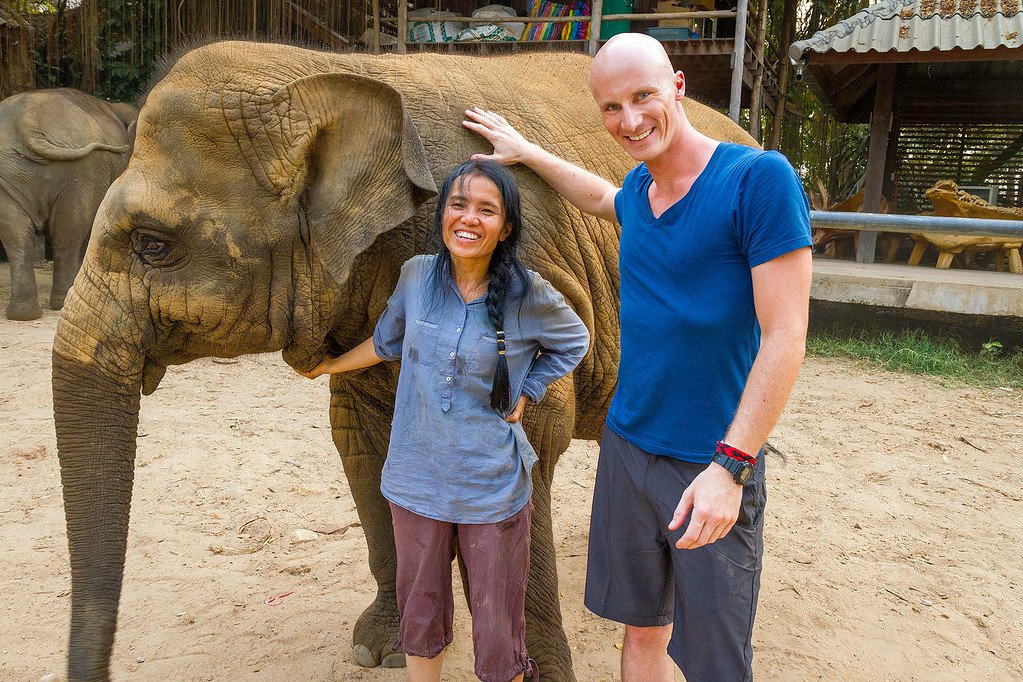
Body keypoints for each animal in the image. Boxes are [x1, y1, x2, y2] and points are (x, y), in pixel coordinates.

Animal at [0, 87, 134, 321]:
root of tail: (27, 121)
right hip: (84, 171)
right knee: (69, 233)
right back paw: (62, 303)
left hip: (14, 173)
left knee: (18, 235)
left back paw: (23, 315)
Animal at [51, 43, 757, 682]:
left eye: (153, 244)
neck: (324, 71)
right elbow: (364, 443)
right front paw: (382, 652)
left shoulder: (532, 274)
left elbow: (532, 438)